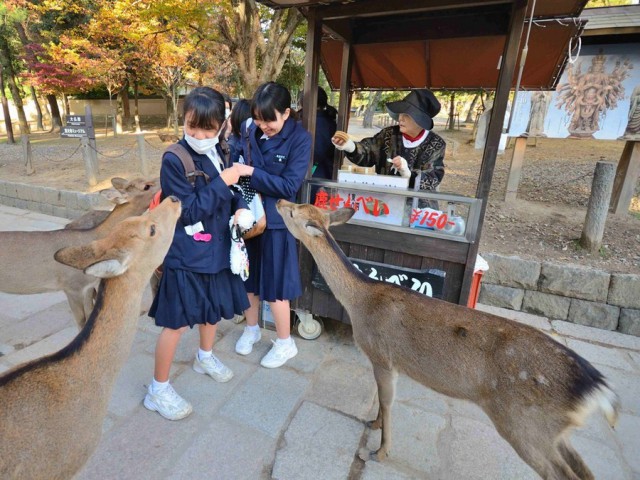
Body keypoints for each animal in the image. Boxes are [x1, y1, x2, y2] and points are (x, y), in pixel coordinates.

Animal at [276, 201, 620, 480]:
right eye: (301, 206)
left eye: (293, 213)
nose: (279, 201)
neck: (359, 302)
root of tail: (597, 389)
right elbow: (380, 400)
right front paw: (373, 425)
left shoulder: (382, 356)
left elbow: (386, 401)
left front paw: (379, 451)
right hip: (553, 431)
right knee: (584, 470)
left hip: (523, 425)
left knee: (561, 473)